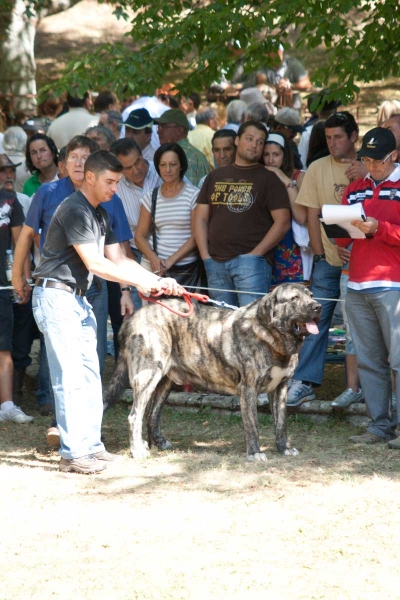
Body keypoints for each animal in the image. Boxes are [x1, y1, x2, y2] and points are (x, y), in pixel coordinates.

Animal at [104, 284, 322, 462]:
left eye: (311, 295)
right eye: (294, 298)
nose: (318, 307)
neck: (272, 336)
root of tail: (132, 318)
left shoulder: (280, 388)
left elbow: (281, 423)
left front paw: (284, 448)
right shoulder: (248, 389)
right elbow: (252, 425)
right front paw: (254, 452)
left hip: (165, 382)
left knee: (152, 414)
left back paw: (158, 443)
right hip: (148, 375)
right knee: (135, 416)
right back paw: (138, 450)